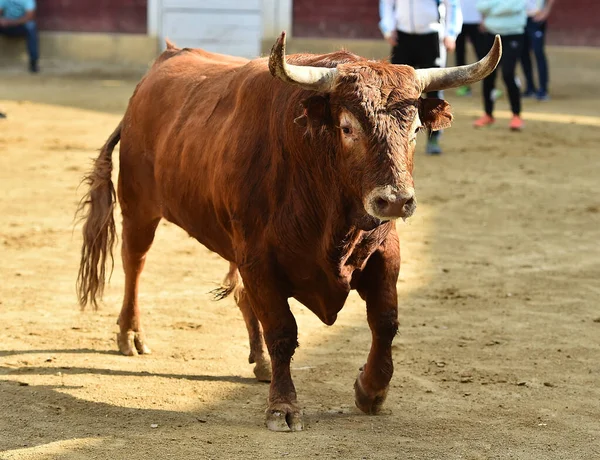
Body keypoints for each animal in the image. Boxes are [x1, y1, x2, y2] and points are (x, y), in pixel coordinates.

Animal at [78, 32, 502, 432]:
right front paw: (283, 407)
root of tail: (162, 63)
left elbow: (384, 322)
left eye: (415, 129)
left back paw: (260, 362)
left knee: (241, 297)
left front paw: (370, 390)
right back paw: (131, 335)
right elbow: (282, 331)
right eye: (347, 127)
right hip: (139, 206)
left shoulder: (384, 253)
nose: (396, 201)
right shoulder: (259, 258)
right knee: (135, 263)